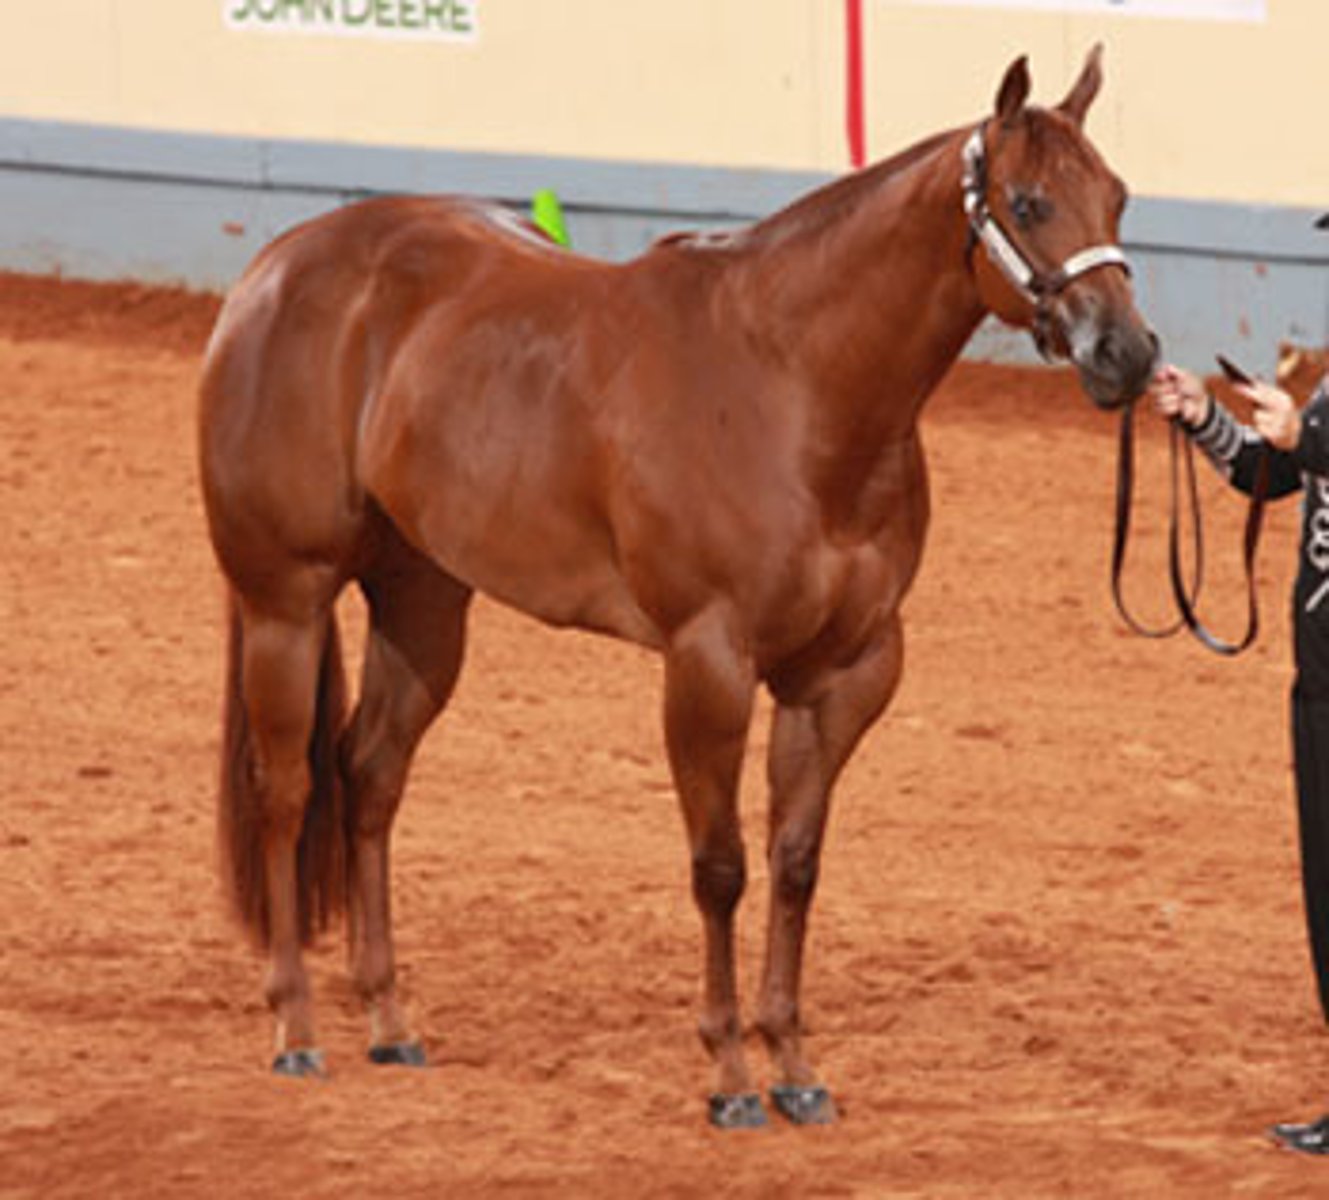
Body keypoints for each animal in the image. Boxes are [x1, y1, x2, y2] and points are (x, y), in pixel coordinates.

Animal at [198, 46, 1157, 1128]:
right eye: (1029, 203)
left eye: (1117, 195)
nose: (1128, 355)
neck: (793, 388)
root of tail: (276, 268)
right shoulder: (708, 663)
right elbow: (721, 867)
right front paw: (730, 1075)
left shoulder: (846, 673)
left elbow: (796, 863)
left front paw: (794, 1066)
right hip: (285, 600)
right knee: (286, 791)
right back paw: (296, 1027)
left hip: (423, 605)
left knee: (367, 778)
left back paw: (390, 1021)